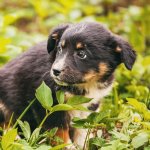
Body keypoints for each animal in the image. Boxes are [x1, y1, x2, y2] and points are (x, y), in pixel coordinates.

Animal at [0, 22, 136, 148]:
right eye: (60, 49)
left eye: (81, 54)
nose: (55, 71)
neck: (85, 85)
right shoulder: (49, 107)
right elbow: (60, 132)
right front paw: (68, 147)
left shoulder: (90, 105)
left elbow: (83, 130)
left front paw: (82, 146)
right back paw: (15, 140)